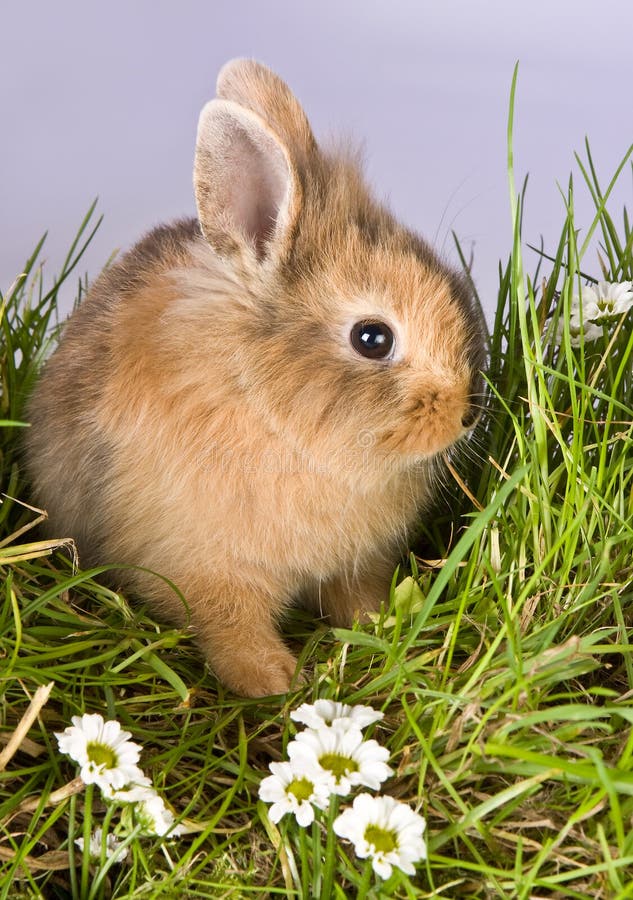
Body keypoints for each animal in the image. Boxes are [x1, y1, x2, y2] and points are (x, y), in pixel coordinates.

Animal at [24, 59, 486, 700]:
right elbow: (230, 630)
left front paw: (377, 626)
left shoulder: (356, 563)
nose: (466, 412)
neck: (273, 413)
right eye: (372, 338)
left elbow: (355, 596)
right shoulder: (207, 570)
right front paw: (275, 680)